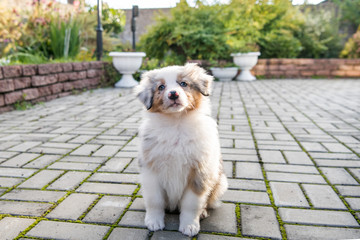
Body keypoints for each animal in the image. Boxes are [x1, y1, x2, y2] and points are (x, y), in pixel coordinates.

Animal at [135, 63, 228, 236]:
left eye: (183, 83)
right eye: (161, 87)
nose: (173, 94)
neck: (176, 123)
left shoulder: (199, 172)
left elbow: (191, 204)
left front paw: (189, 226)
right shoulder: (151, 171)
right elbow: (154, 200)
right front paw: (153, 221)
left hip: (221, 182)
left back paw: (203, 212)